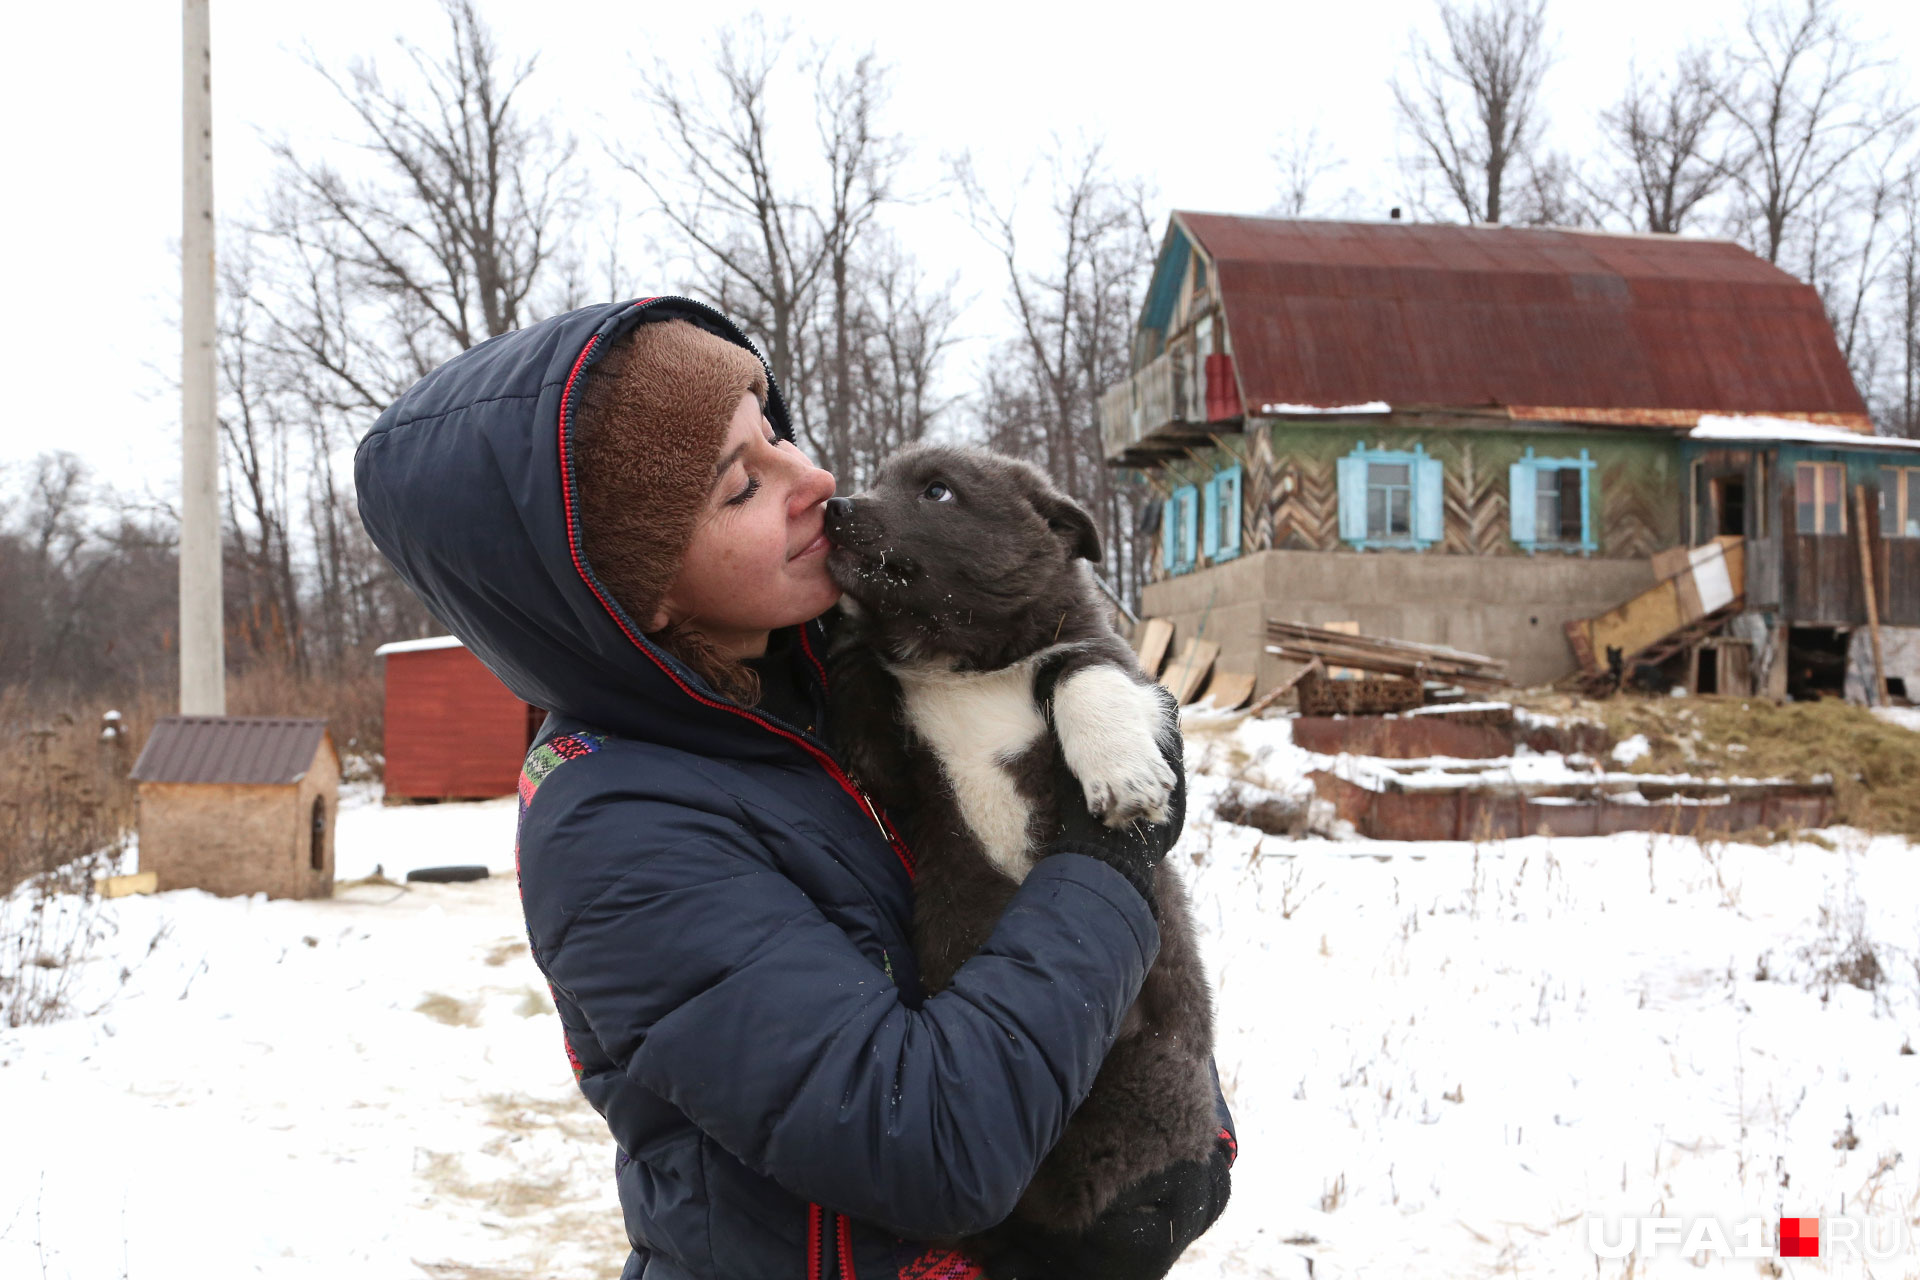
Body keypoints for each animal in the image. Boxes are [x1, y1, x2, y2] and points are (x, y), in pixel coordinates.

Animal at [821, 443, 1213, 1251]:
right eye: (880, 479)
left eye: (938, 492)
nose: (833, 507)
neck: (962, 664)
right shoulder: (899, 774)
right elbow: (867, 698)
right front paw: (848, 635)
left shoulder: (1101, 654)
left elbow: (1084, 674)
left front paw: (1123, 775)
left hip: (1145, 1082)